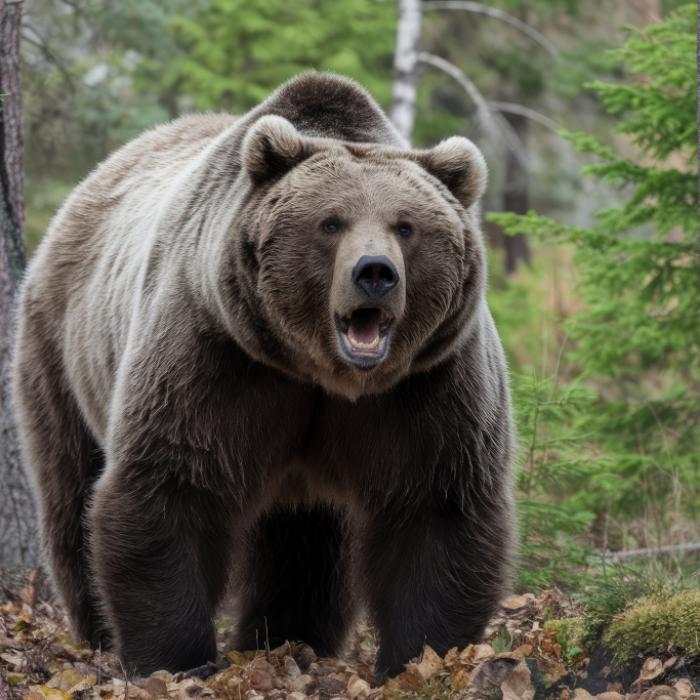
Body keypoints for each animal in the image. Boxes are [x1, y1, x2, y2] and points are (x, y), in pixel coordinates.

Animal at [12, 72, 515, 678]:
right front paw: (177, 659)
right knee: (70, 487)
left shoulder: (429, 384)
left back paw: (291, 639)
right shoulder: (215, 355)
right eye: (331, 222)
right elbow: (171, 484)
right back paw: (99, 633)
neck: (320, 373)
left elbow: (437, 506)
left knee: (304, 540)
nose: (375, 272)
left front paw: (423, 658)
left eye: (406, 226)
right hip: (61, 349)